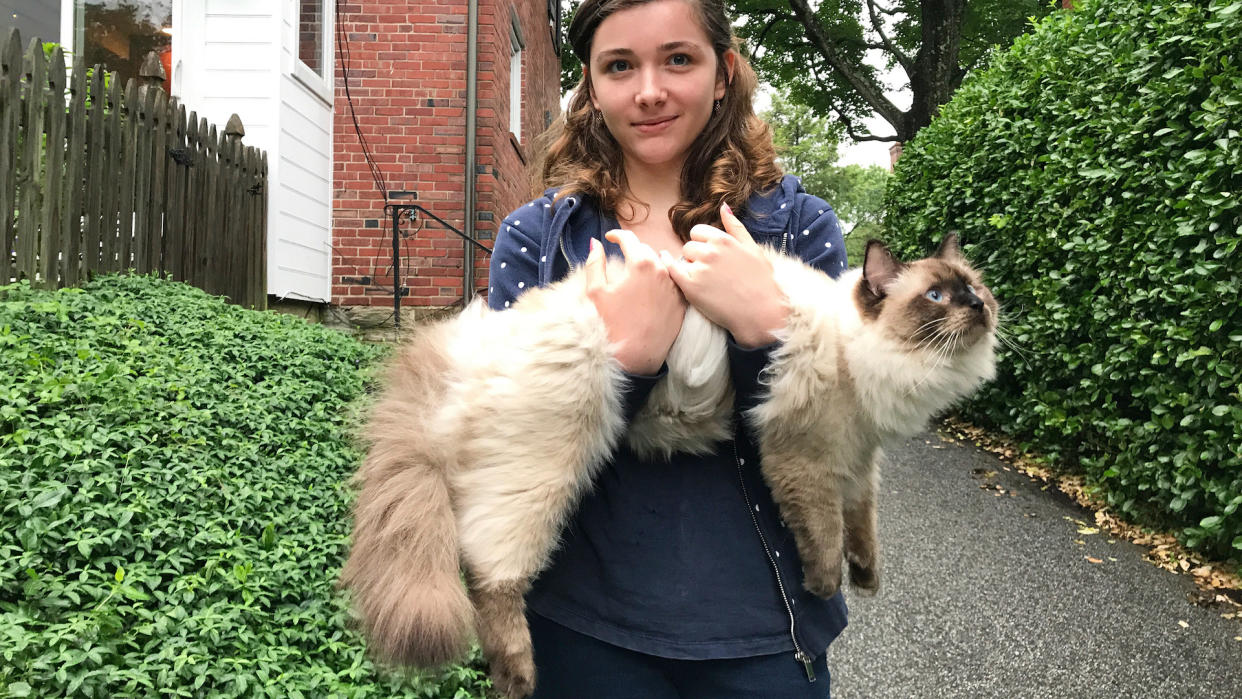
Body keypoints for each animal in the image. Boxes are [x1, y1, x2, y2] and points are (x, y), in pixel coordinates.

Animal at [340, 233, 998, 695]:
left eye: (974, 288)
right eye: (936, 298)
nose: (979, 307)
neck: (863, 358)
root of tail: (463, 343)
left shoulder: (859, 459)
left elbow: (863, 526)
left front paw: (867, 579)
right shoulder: (804, 457)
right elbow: (823, 534)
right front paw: (824, 585)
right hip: (540, 472)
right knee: (487, 575)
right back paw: (518, 678)